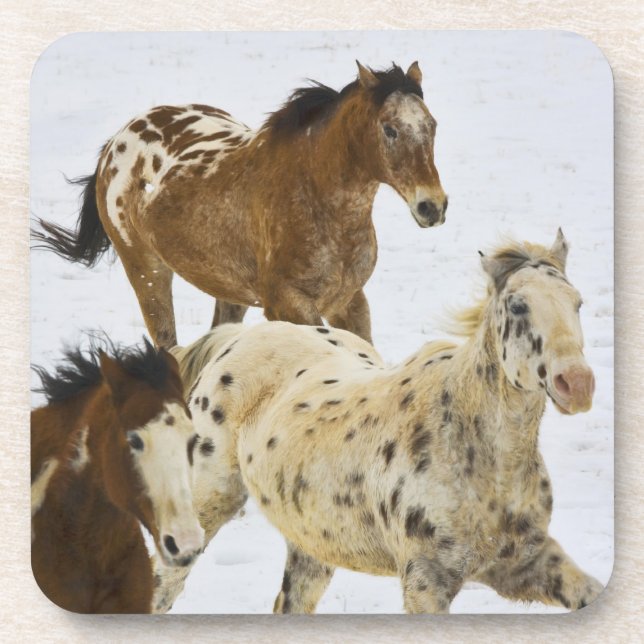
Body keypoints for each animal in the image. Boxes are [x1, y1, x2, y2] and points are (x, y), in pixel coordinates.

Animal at [32, 62, 448, 349]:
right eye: (389, 129)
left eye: (432, 125)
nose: (433, 206)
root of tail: (114, 144)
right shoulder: (288, 305)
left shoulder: (349, 301)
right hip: (147, 273)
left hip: (228, 292)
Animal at [152, 229, 603, 614]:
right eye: (517, 305)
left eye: (577, 302)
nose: (576, 383)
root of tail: (235, 338)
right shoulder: (425, 581)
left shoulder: (524, 563)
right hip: (205, 508)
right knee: (164, 587)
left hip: (313, 543)